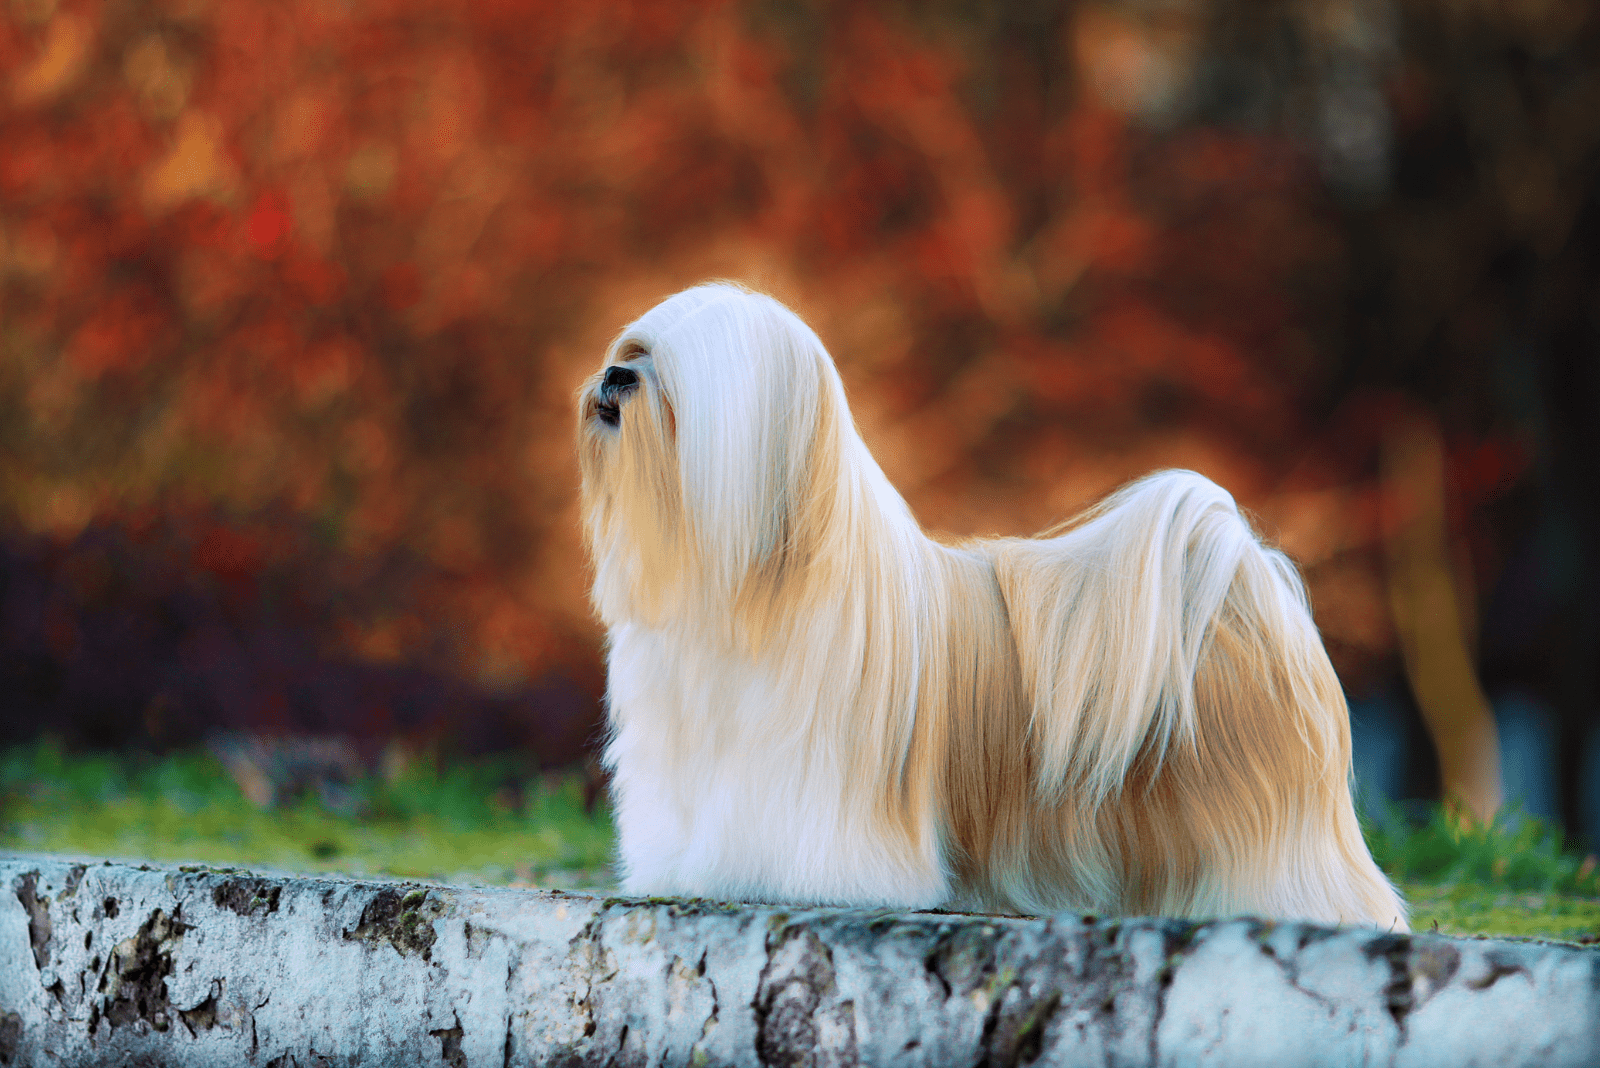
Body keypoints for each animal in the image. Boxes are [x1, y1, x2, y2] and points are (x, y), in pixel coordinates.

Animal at [582, 281, 1408, 927]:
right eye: (632, 348)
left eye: (668, 381)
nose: (614, 375)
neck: (742, 586)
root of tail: (1240, 578)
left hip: (1274, 819)